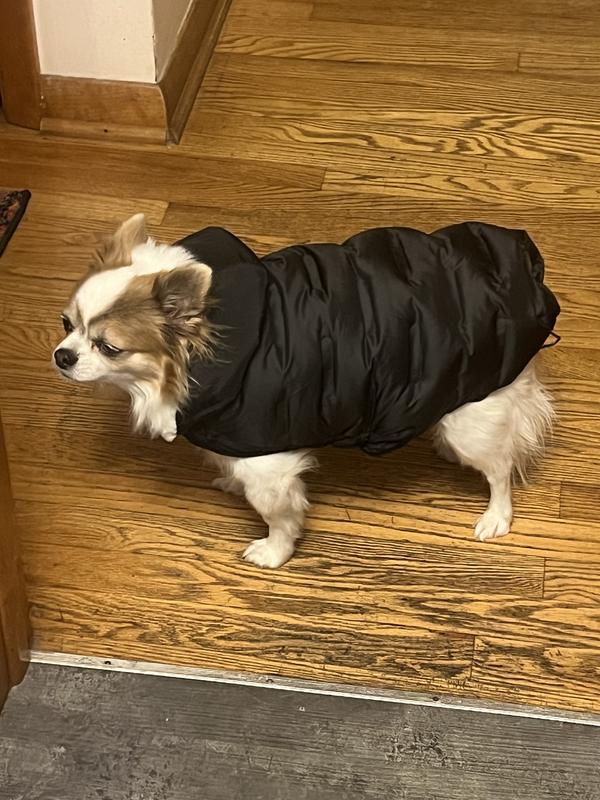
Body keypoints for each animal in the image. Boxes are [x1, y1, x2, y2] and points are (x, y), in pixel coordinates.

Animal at [53, 214, 560, 568]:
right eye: (66, 324)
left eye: (109, 347)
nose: (62, 356)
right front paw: (228, 480)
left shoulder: (269, 466)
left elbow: (279, 515)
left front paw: (275, 552)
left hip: (472, 415)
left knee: (500, 469)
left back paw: (496, 516)